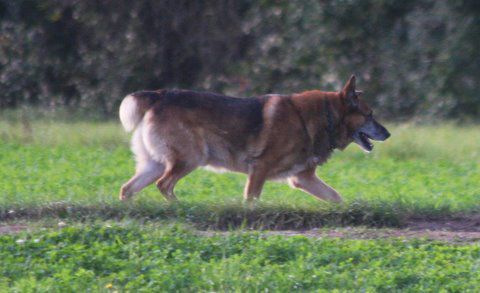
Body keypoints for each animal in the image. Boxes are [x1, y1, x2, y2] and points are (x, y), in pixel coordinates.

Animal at [119, 75, 390, 202]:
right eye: (370, 114)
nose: (388, 134)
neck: (326, 116)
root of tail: (159, 95)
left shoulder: (303, 178)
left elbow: (336, 198)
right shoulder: (260, 169)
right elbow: (252, 200)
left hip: (155, 164)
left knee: (127, 189)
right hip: (191, 158)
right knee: (164, 185)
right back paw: (181, 206)